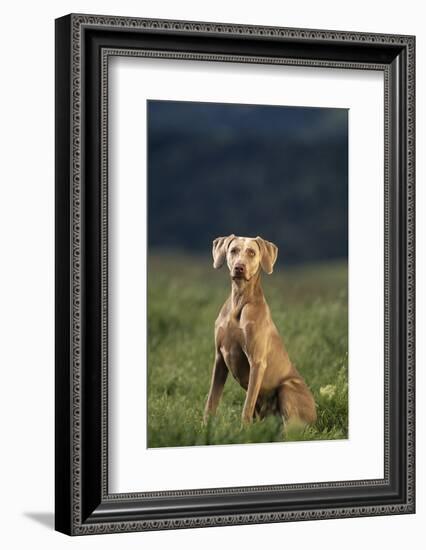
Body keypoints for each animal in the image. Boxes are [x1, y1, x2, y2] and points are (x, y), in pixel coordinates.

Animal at [203, 235, 316, 430]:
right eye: (233, 250)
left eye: (251, 252)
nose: (239, 267)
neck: (239, 301)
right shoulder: (219, 359)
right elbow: (211, 400)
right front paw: (203, 427)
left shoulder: (257, 362)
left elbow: (246, 406)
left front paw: (243, 431)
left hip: (287, 388)